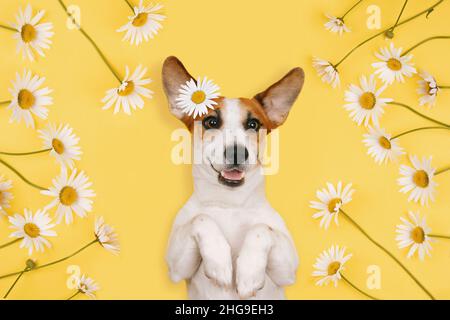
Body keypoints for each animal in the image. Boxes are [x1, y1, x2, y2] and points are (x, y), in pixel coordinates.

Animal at [163, 56, 306, 298]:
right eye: (211, 122)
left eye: (253, 124)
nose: (237, 152)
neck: (230, 203)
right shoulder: (176, 267)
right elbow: (201, 218)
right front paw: (219, 262)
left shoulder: (288, 270)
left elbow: (261, 229)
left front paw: (249, 273)